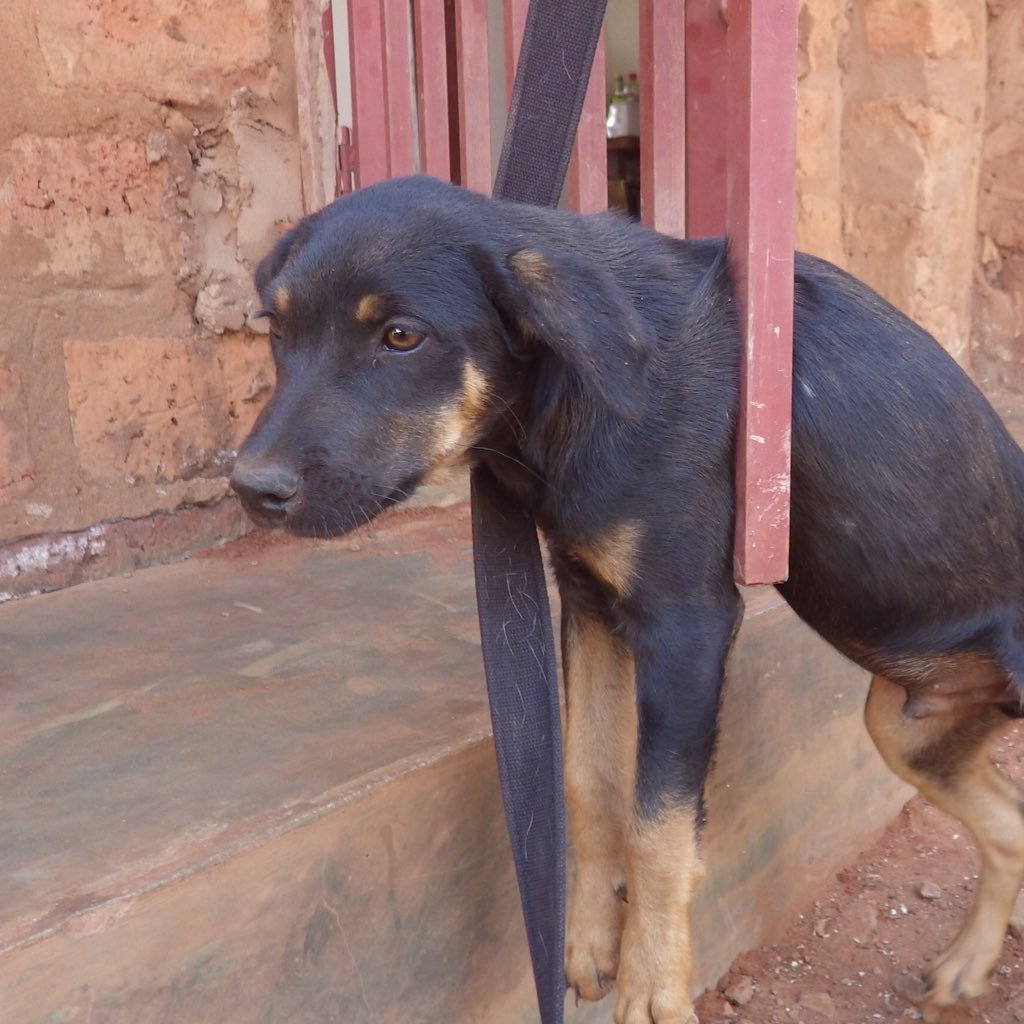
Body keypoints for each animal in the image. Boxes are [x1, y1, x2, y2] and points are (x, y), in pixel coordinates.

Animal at [230, 176, 1024, 1024]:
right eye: (276, 327)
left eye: (402, 336)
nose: (250, 489)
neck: (570, 394)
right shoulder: (589, 604)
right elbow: (589, 778)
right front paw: (587, 936)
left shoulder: (687, 624)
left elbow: (659, 827)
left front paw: (653, 985)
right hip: (907, 725)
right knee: (1010, 822)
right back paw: (969, 964)